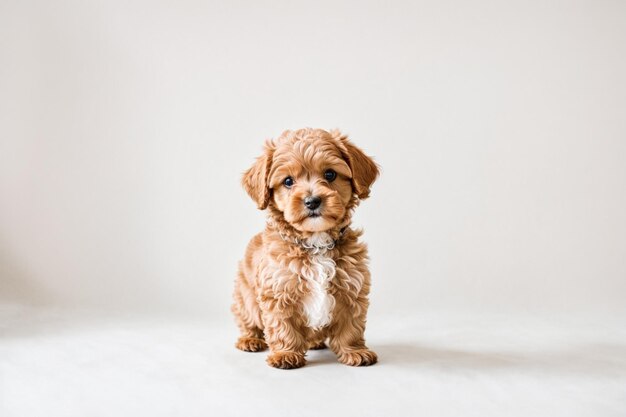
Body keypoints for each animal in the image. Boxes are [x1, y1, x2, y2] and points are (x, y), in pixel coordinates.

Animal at [232, 127, 378, 368]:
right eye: (288, 181)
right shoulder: (277, 290)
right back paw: (249, 339)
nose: (312, 201)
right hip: (245, 297)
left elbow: (351, 326)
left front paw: (355, 351)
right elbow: (282, 325)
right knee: (248, 320)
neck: (315, 243)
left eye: (330, 174)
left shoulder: (352, 288)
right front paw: (285, 353)